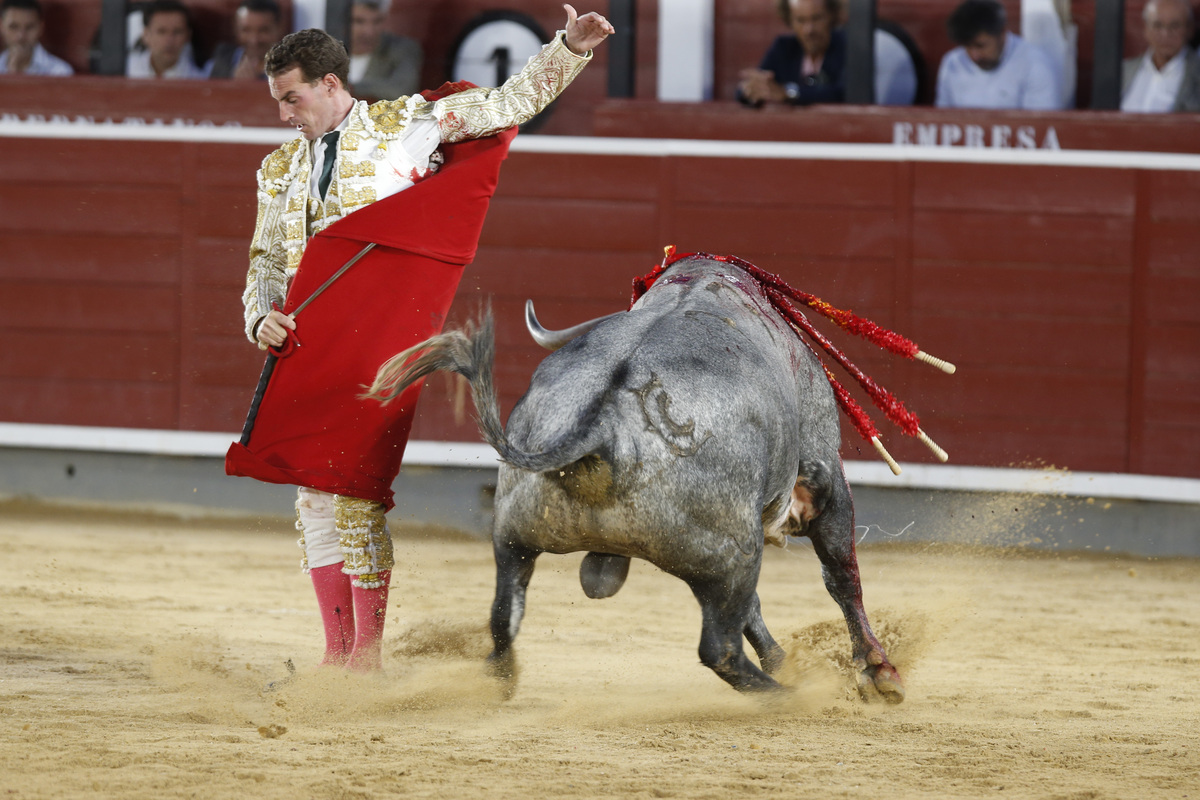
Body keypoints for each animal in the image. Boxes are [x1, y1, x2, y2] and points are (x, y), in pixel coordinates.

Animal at [369, 255, 902, 700]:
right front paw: (878, 672)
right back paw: (790, 695)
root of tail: (604, 423)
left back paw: (500, 681)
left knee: (504, 619)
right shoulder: (823, 477)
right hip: (734, 550)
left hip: (514, 534)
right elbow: (841, 574)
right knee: (720, 646)